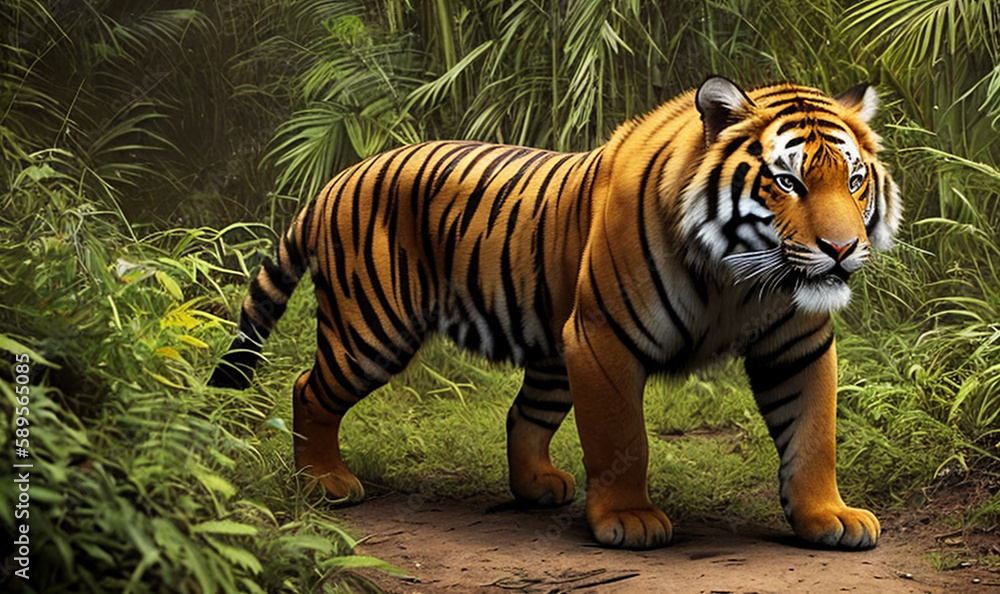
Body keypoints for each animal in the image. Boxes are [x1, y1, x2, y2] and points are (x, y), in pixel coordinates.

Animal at [210, 75, 902, 550]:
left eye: (855, 180)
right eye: (788, 182)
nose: (841, 250)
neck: (735, 278)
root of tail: (338, 176)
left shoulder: (798, 344)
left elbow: (813, 435)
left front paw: (828, 518)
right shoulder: (604, 337)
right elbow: (623, 438)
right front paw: (628, 519)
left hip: (548, 349)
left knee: (522, 414)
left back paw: (538, 487)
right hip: (372, 330)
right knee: (307, 387)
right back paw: (323, 484)